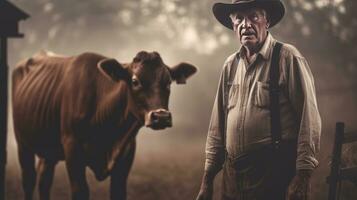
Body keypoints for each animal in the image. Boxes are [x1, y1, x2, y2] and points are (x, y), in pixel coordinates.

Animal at [13, 50, 197, 199]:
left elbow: (118, 192)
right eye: (135, 81)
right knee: (28, 179)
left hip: (48, 149)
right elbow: (80, 191)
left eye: (169, 82)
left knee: (44, 180)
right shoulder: (72, 148)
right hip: (22, 142)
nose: (161, 116)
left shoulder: (127, 152)